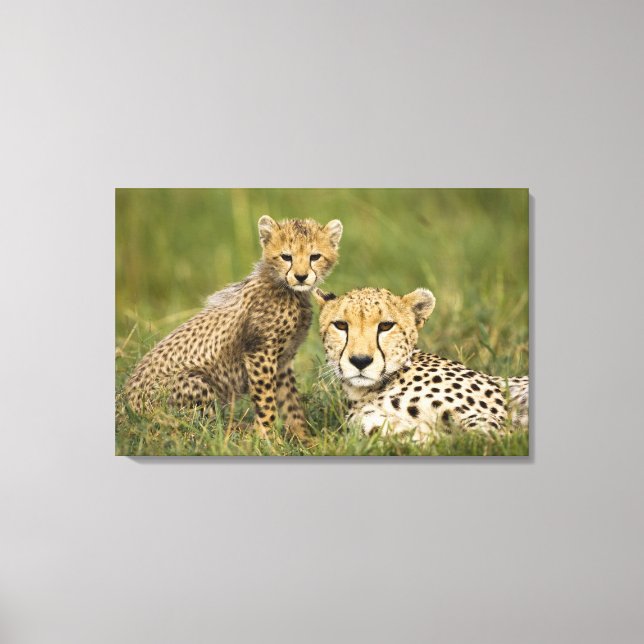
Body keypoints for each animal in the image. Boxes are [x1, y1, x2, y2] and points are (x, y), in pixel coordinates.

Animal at [124, 215, 343, 438]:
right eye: (286, 257)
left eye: (314, 256)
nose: (301, 276)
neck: (287, 290)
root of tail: (125, 404)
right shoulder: (260, 354)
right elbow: (266, 401)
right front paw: (268, 438)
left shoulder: (283, 360)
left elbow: (291, 404)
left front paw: (304, 438)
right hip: (194, 382)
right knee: (201, 426)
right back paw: (243, 431)